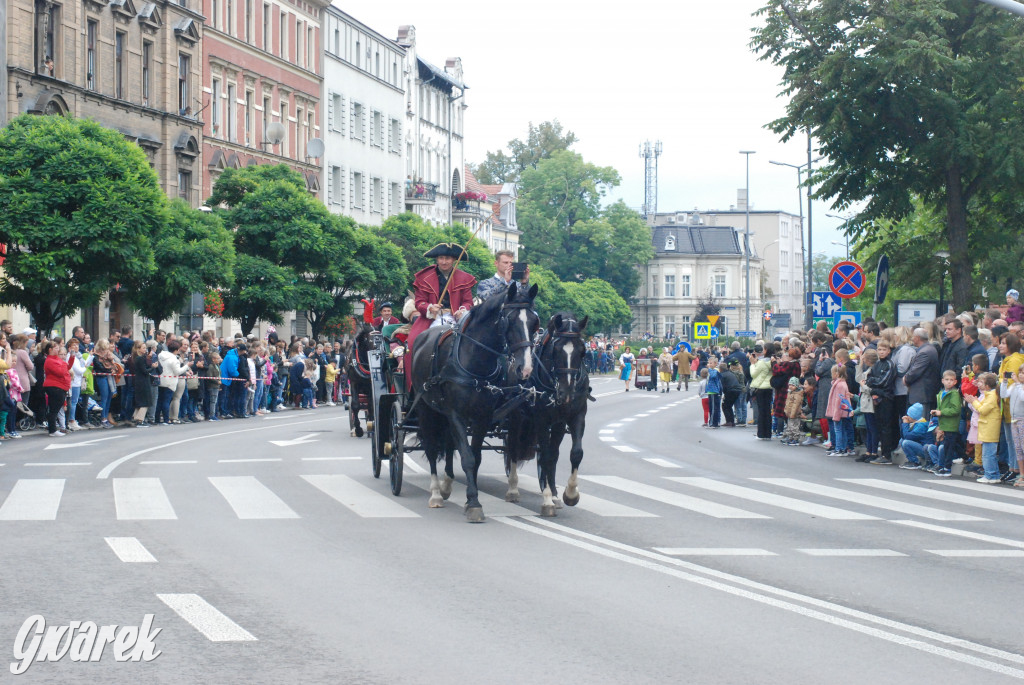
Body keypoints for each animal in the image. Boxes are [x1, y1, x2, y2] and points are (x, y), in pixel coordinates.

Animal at [411, 280, 544, 520]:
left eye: (534, 322)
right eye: (509, 320)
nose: (526, 368)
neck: (475, 360)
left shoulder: (482, 416)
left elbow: (476, 457)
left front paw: (470, 498)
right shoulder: (456, 414)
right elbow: (467, 458)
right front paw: (473, 502)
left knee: (447, 444)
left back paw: (447, 484)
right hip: (426, 408)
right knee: (432, 448)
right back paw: (435, 493)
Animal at [505, 313, 589, 516]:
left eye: (582, 351)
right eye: (556, 350)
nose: (566, 393)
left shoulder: (574, 417)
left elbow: (573, 453)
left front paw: (569, 494)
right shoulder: (541, 420)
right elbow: (545, 456)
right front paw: (547, 499)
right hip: (516, 416)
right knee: (513, 448)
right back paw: (513, 489)